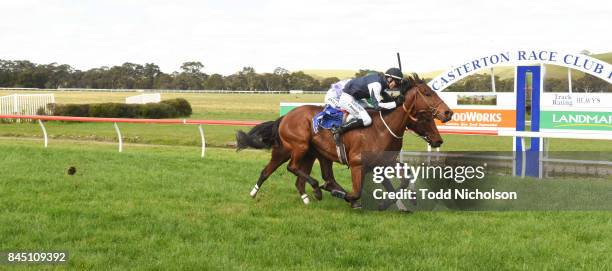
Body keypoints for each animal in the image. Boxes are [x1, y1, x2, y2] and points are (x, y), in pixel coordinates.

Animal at [237, 75, 452, 209]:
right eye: (427, 93)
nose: (448, 113)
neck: (383, 129)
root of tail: (286, 116)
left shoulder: (385, 162)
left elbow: (403, 180)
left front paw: (400, 202)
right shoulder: (358, 164)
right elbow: (356, 192)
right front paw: (348, 198)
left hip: (310, 153)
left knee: (295, 175)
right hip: (297, 147)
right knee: (289, 168)